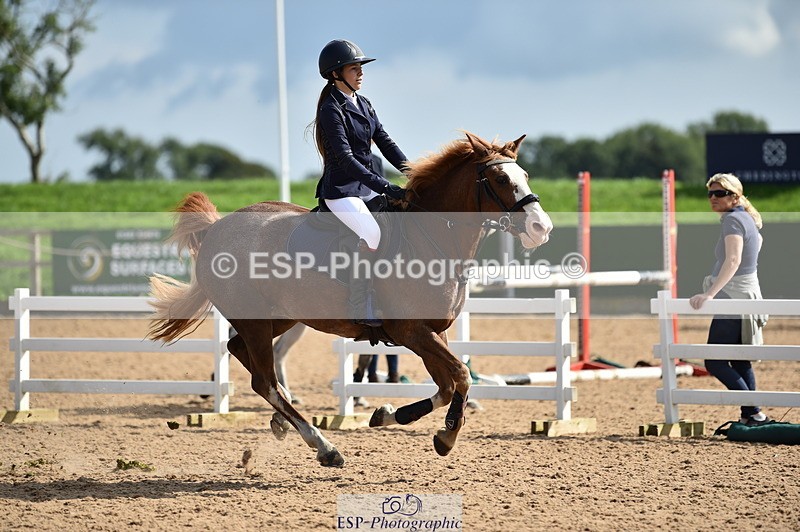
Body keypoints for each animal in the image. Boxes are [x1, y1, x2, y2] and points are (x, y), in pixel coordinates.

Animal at [148, 131, 553, 467]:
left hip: (279, 318)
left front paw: (387, 415)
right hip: (257, 321)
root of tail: (218, 227)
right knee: (263, 380)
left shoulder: (434, 333)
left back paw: (284, 420)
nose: (542, 228)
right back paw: (323, 446)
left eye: (525, 176)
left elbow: (447, 384)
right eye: (501, 180)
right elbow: (460, 376)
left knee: (242, 353)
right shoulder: (412, 332)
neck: (432, 238)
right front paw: (447, 436)